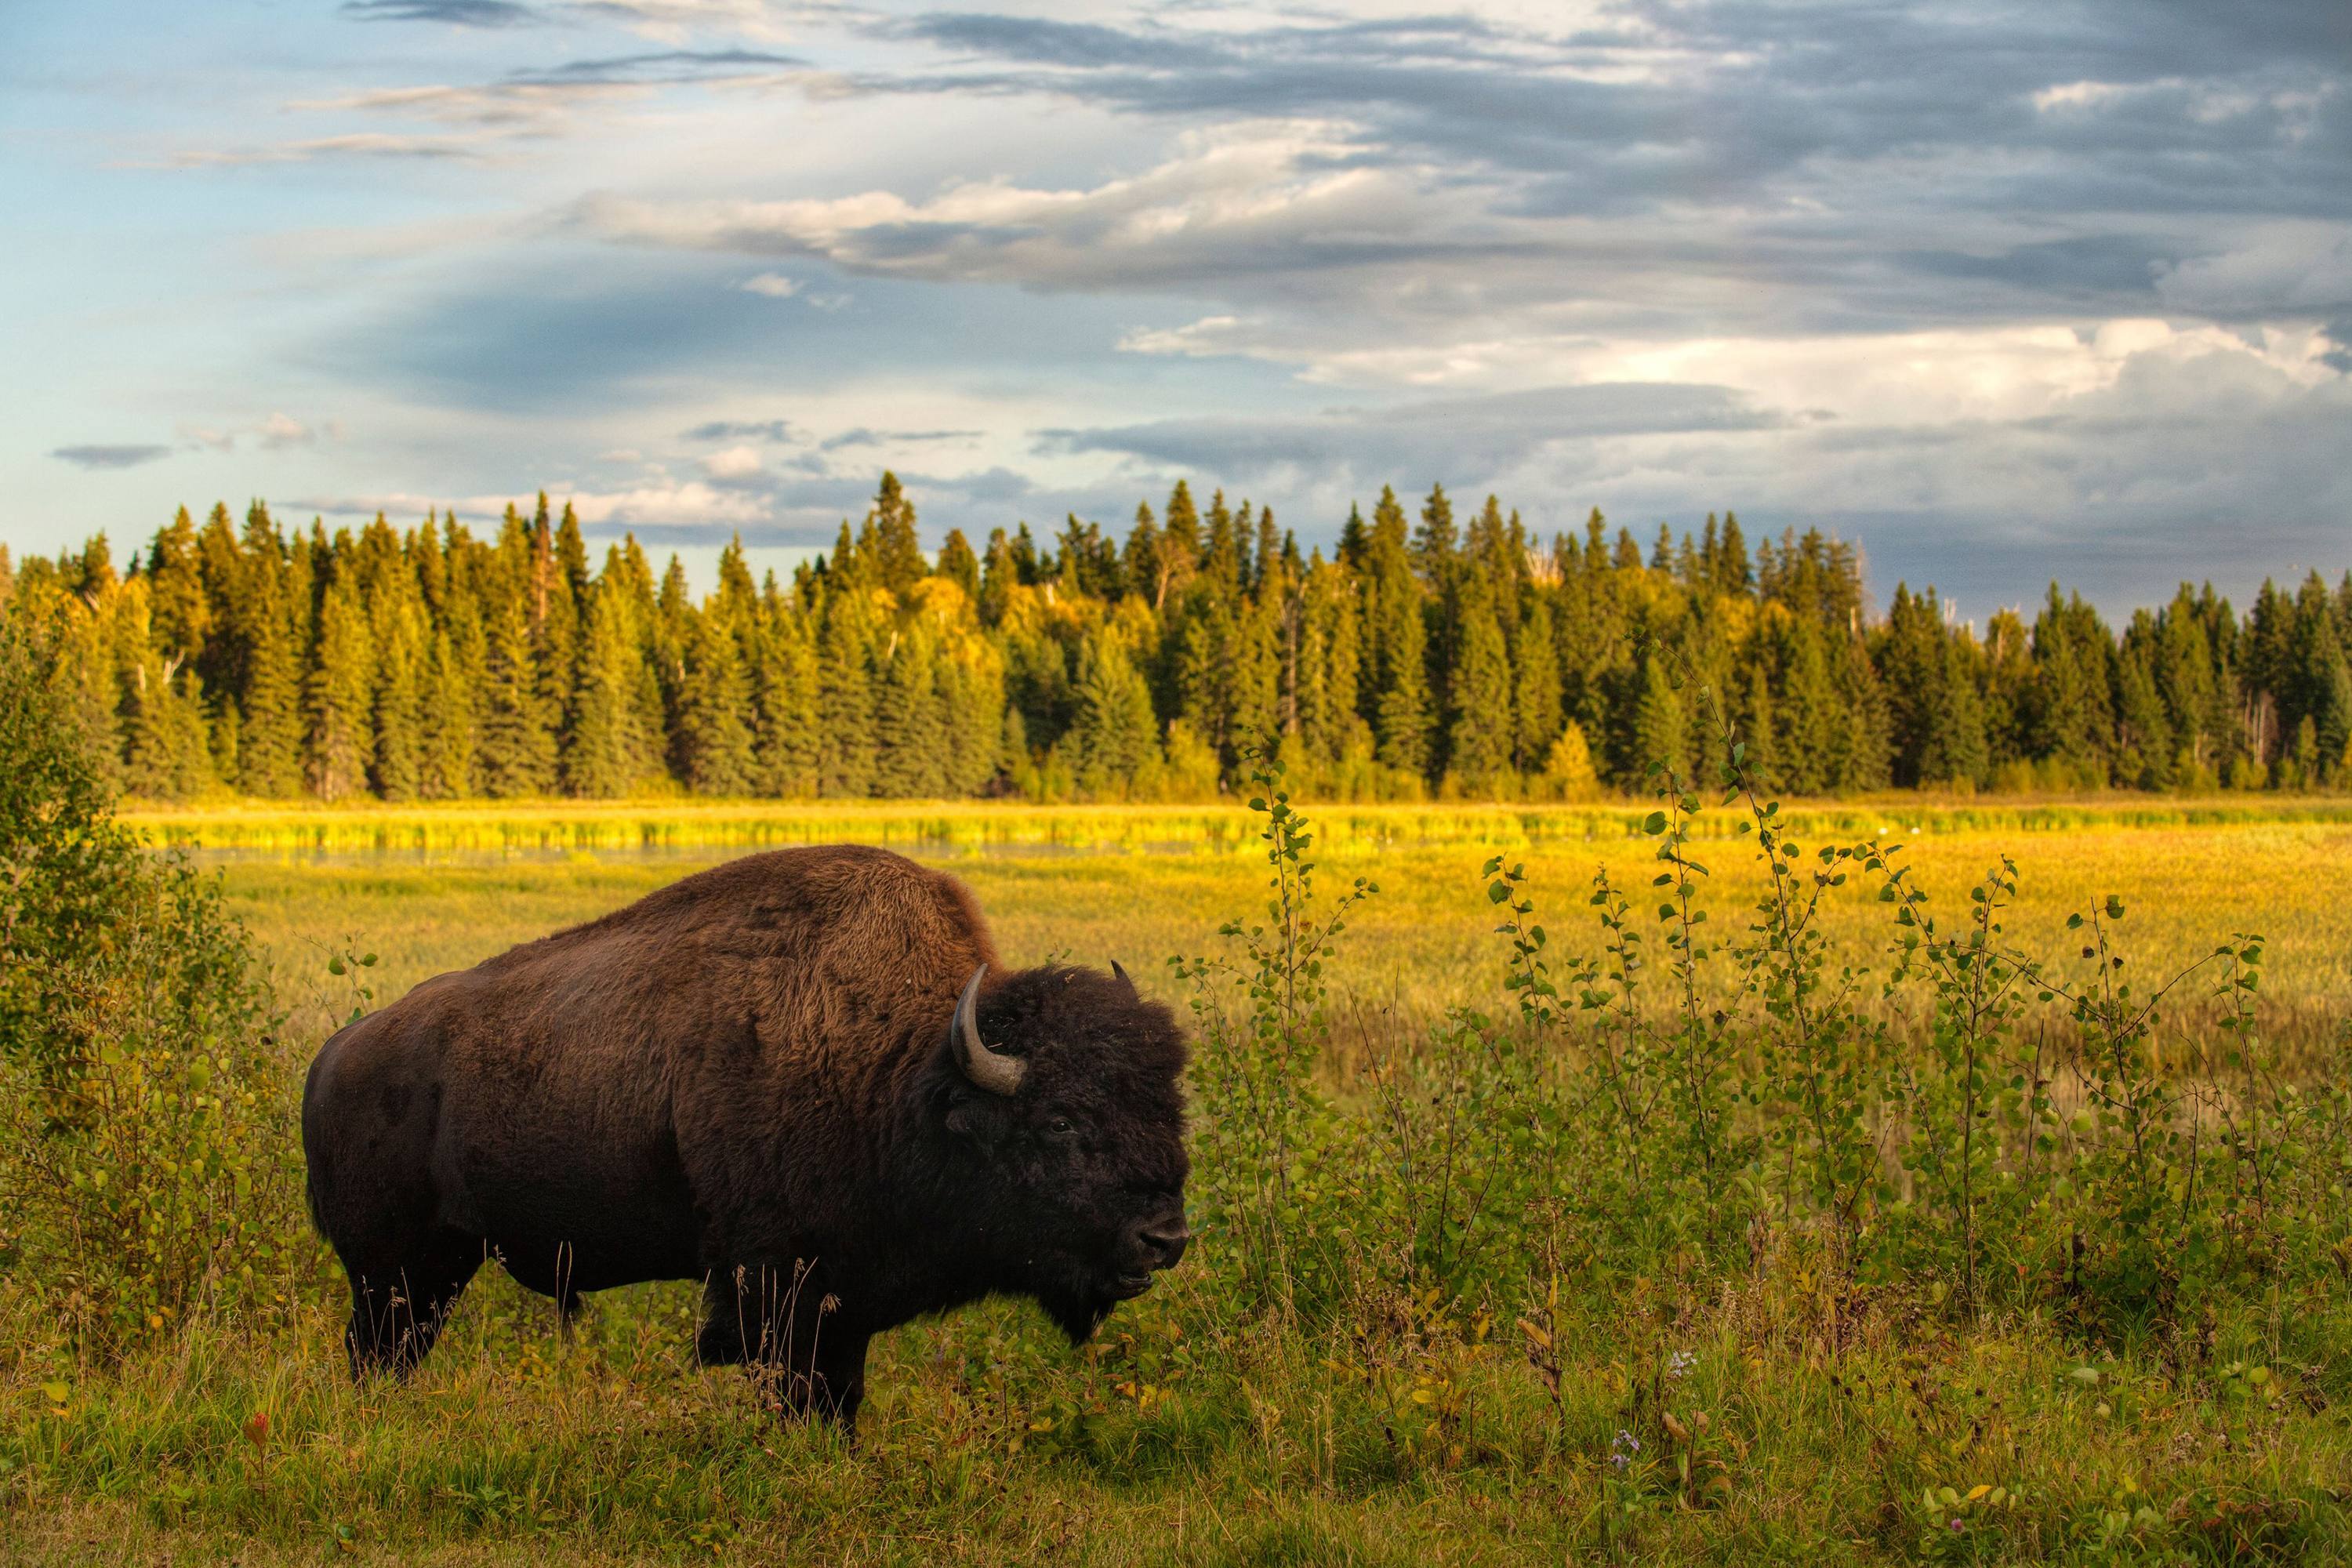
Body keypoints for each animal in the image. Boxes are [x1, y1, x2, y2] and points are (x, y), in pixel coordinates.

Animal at [301, 851, 1195, 1429]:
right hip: (389, 1270)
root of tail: (336, 1053)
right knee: (375, 1348)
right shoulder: (774, 1283)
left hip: (440, 1266)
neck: (907, 1072)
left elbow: (841, 1392)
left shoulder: (845, 1296)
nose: (1166, 1238)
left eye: (1168, 1106)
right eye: (1060, 1120)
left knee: (396, 1349)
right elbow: (797, 1388)